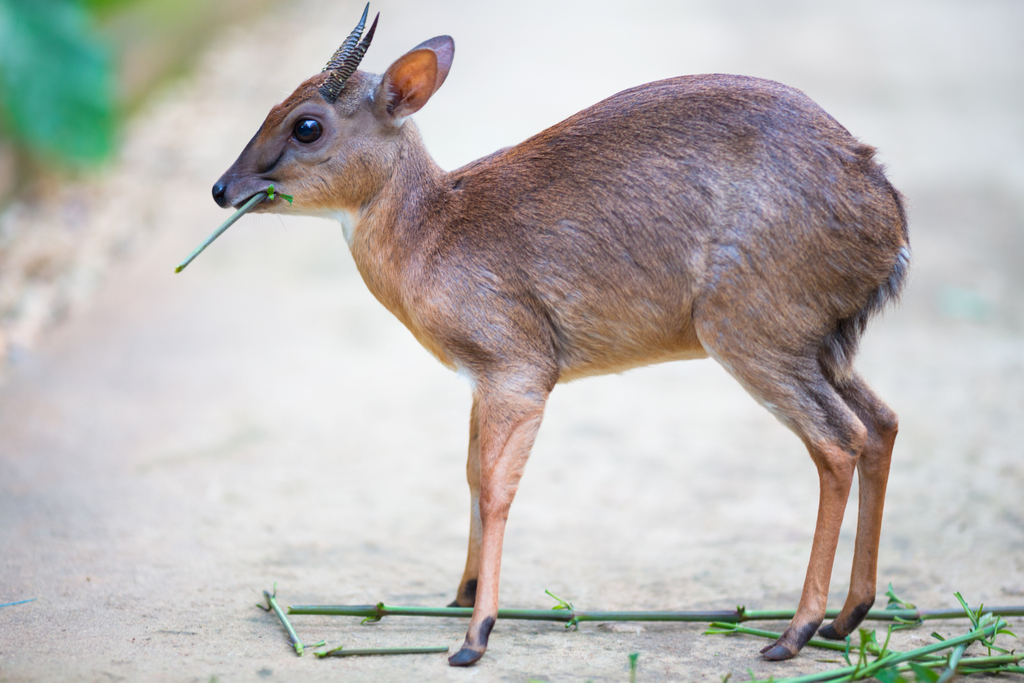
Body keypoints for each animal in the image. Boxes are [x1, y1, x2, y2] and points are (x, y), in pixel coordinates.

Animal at [203, 6, 909, 667]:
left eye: (308, 124)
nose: (221, 188)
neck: (436, 230)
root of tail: (885, 208)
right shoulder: (479, 382)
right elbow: (470, 475)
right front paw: (461, 594)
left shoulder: (519, 372)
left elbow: (496, 488)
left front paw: (475, 636)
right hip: (819, 347)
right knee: (881, 423)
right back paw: (850, 616)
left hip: (752, 336)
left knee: (837, 441)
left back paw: (793, 633)